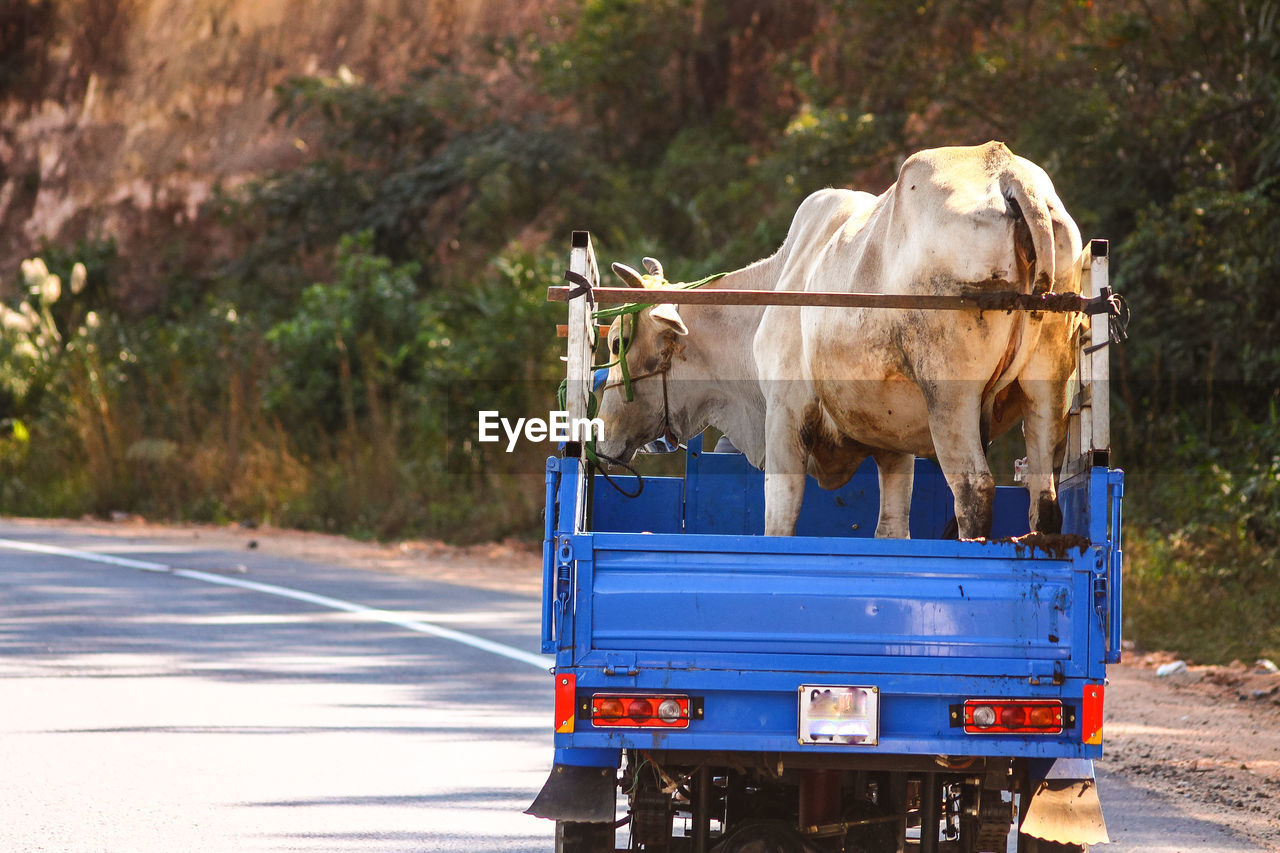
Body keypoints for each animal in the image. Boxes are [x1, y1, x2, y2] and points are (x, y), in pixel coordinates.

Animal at [588, 142, 1080, 535]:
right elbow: (892, 528)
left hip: (950, 398)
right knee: (1045, 497)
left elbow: (779, 522)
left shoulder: (784, 414)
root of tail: (1008, 174)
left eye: (617, 344)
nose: (603, 432)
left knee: (974, 490)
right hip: (1046, 388)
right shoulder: (893, 445)